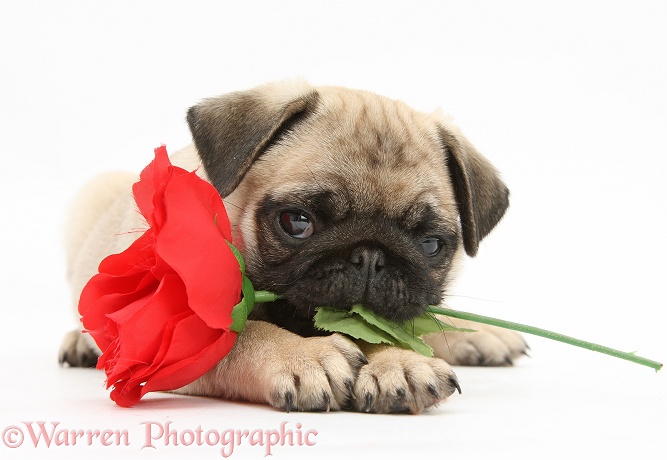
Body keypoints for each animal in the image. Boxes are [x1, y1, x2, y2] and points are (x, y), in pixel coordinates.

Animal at [58, 81, 528, 416]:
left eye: (430, 245)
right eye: (297, 222)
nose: (370, 256)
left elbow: (386, 330)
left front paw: (398, 359)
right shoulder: (172, 340)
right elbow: (242, 336)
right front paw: (302, 356)